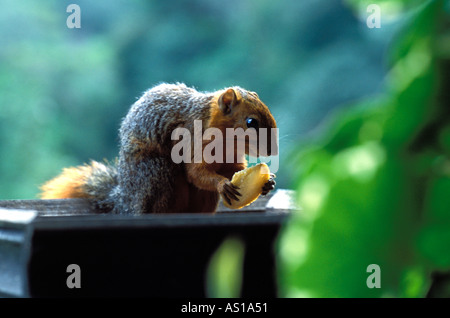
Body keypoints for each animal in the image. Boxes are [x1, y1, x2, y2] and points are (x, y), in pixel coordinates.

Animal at [39, 82, 278, 214]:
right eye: (251, 122)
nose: (272, 150)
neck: (227, 140)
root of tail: (125, 201)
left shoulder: (230, 157)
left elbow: (232, 169)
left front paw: (268, 183)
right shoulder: (193, 140)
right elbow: (195, 172)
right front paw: (222, 184)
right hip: (157, 174)